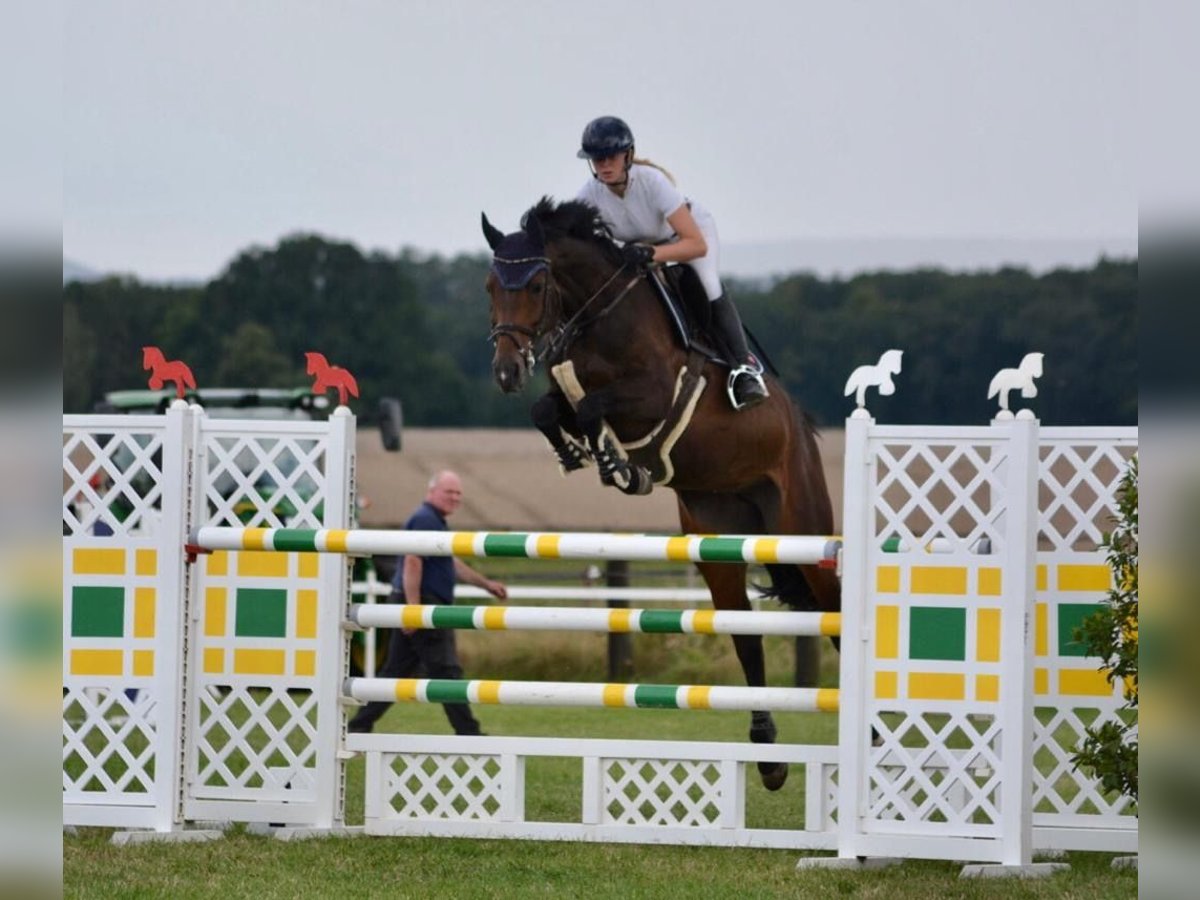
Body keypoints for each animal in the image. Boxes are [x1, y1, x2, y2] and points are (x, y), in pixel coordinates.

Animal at [475, 196, 835, 787]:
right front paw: (579, 455)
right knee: (745, 634)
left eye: (537, 283)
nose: (507, 371)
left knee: (834, 608)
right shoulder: (563, 391)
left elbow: (593, 408)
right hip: (718, 541)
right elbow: (548, 409)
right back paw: (768, 756)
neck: (598, 317)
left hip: (803, 532)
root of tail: (800, 431)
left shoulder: (652, 394)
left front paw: (618, 465)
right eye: (490, 286)